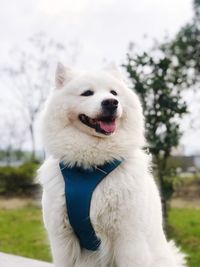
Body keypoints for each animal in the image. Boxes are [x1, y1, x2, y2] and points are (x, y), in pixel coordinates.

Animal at [38, 63, 186, 267]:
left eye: (114, 93)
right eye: (87, 93)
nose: (111, 102)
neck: (91, 166)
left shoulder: (128, 239)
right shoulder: (62, 239)